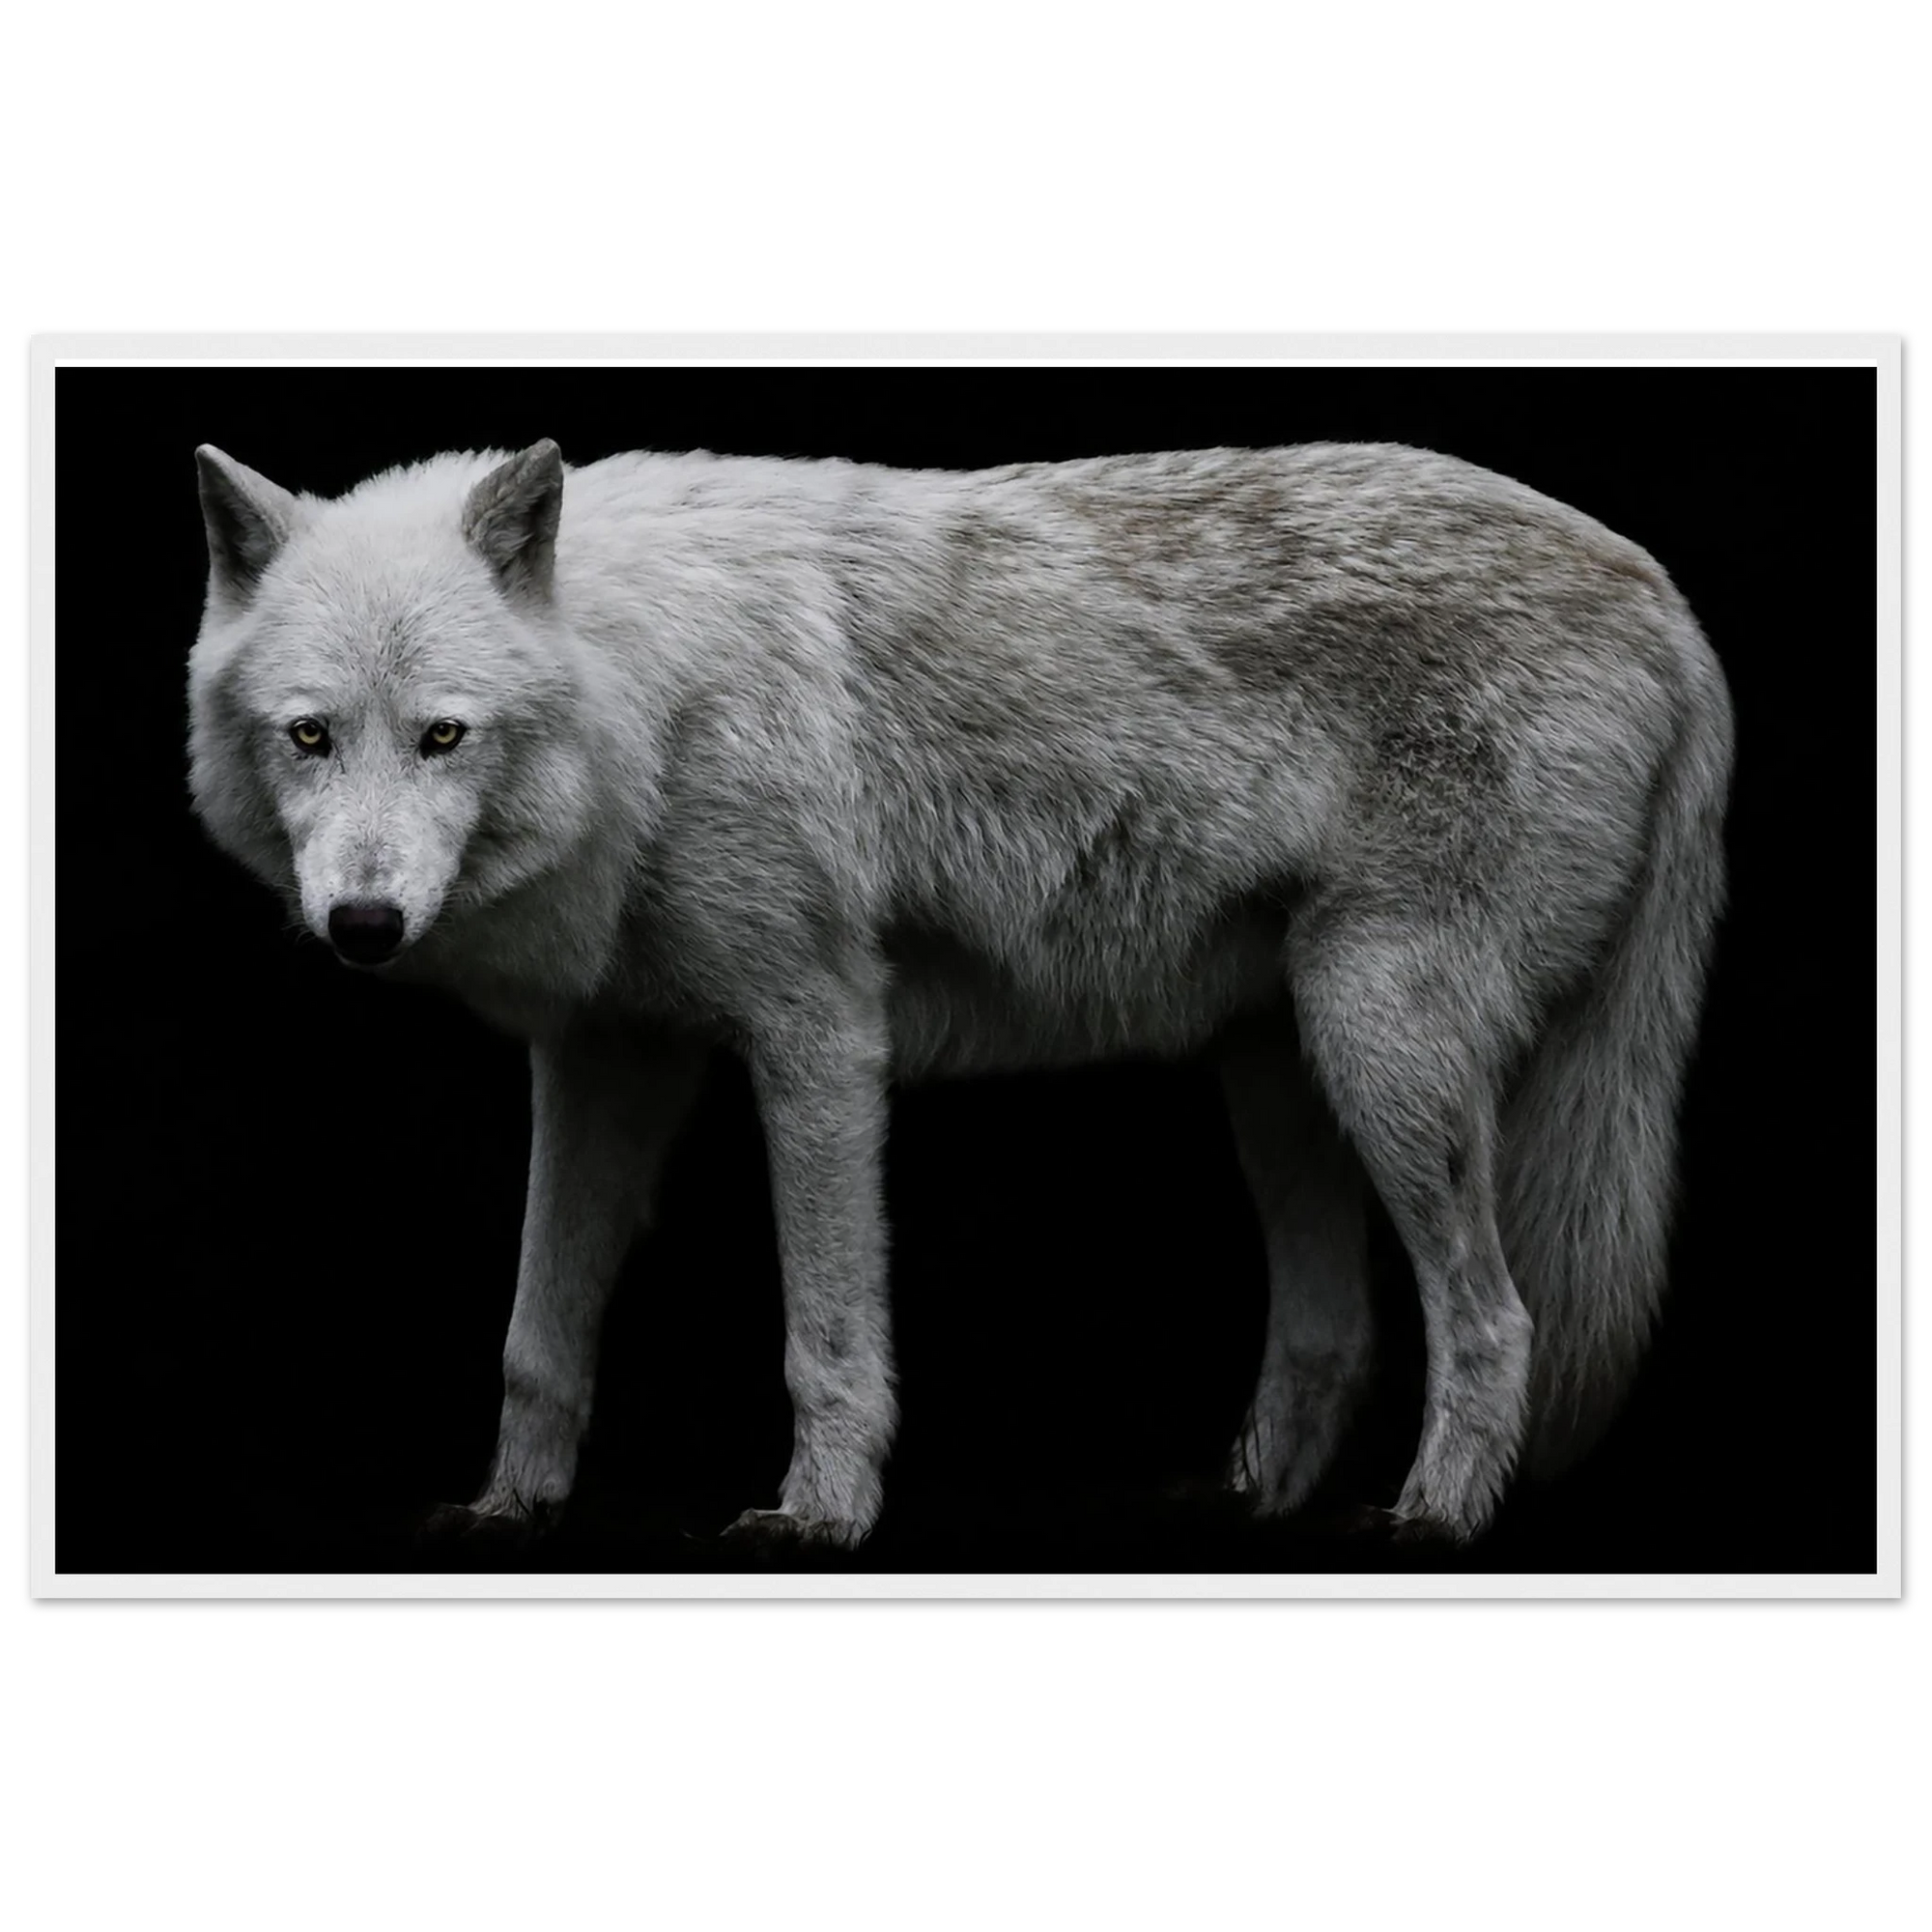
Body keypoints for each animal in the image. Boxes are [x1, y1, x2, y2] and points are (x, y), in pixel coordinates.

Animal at [188, 437, 1733, 1550]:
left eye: (443, 736)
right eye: (311, 737)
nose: (364, 923)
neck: (646, 703)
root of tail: (1663, 593)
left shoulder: (816, 1032)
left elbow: (825, 1334)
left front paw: (817, 1518)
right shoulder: (600, 1058)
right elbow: (533, 1334)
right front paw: (509, 1508)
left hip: (1381, 1045)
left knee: (1495, 1317)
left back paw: (1431, 1521)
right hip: (1279, 1067)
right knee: (1332, 1332)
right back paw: (1251, 1500)